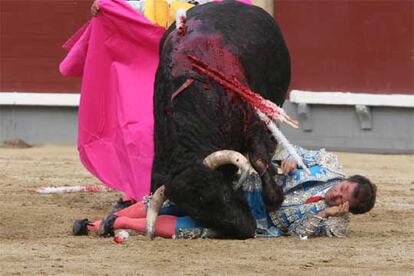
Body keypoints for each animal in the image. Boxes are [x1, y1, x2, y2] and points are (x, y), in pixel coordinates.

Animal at [150, 1, 290, 238]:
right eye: (196, 212)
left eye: (224, 193)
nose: (247, 229)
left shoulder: (254, 123)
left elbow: (258, 159)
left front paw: (274, 199)